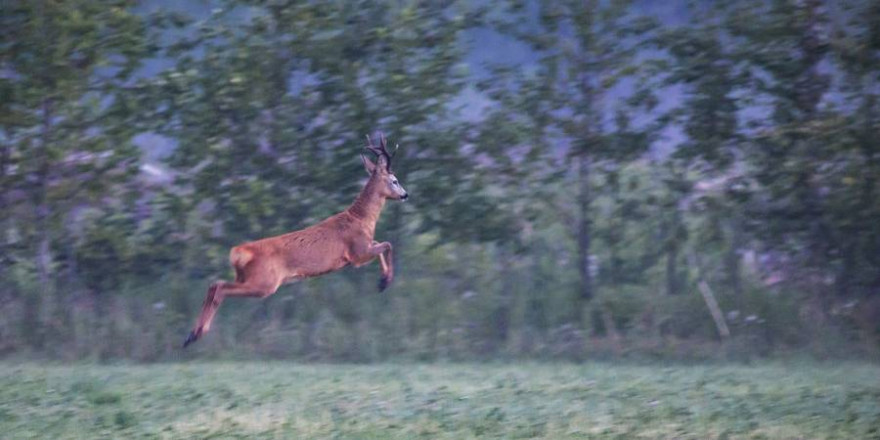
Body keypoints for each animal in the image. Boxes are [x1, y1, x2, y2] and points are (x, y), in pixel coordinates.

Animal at [185, 133, 410, 348]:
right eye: (395, 180)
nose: (405, 195)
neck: (361, 219)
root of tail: (240, 252)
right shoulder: (357, 253)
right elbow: (387, 244)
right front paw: (384, 282)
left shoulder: (362, 249)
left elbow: (381, 244)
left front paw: (382, 281)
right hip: (264, 283)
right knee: (220, 288)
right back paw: (197, 333)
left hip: (246, 278)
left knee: (214, 285)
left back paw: (191, 336)